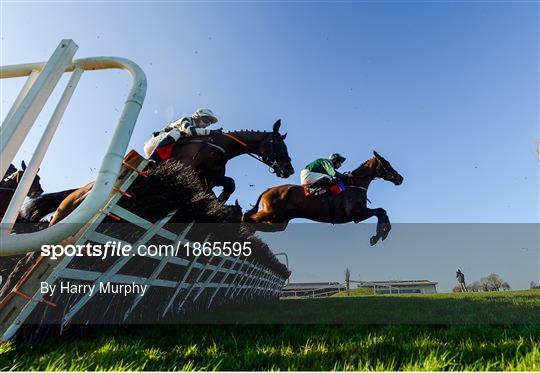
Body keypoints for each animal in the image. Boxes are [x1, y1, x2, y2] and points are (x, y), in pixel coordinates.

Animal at [49, 120, 296, 224]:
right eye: (279, 144)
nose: (289, 169)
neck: (218, 146)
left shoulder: (210, 178)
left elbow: (227, 184)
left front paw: (218, 203)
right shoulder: (196, 173)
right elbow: (229, 184)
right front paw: (219, 204)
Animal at [243, 150, 402, 246]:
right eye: (386, 164)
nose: (400, 178)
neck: (354, 184)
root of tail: (268, 190)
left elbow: (382, 212)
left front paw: (380, 234)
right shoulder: (356, 214)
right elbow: (380, 211)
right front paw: (379, 235)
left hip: (278, 222)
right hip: (271, 213)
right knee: (247, 217)